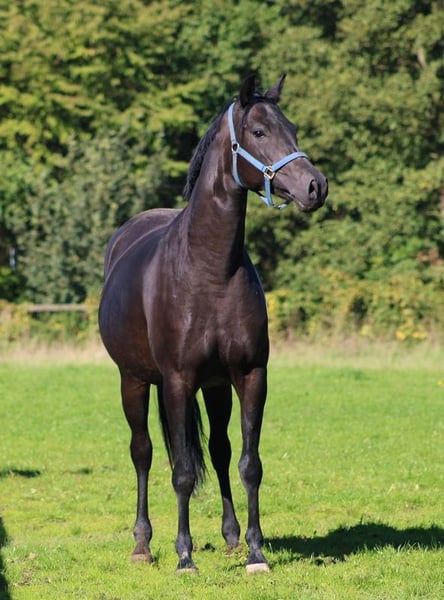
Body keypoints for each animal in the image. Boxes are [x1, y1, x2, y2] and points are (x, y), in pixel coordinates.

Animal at [98, 74, 328, 574]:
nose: (315, 186)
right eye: (259, 132)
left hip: (216, 386)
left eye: (293, 129)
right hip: (134, 380)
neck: (209, 270)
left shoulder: (249, 375)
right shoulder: (178, 380)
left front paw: (256, 552)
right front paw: (184, 557)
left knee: (220, 452)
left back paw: (230, 537)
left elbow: (248, 463)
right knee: (144, 453)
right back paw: (143, 545)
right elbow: (183, 471)